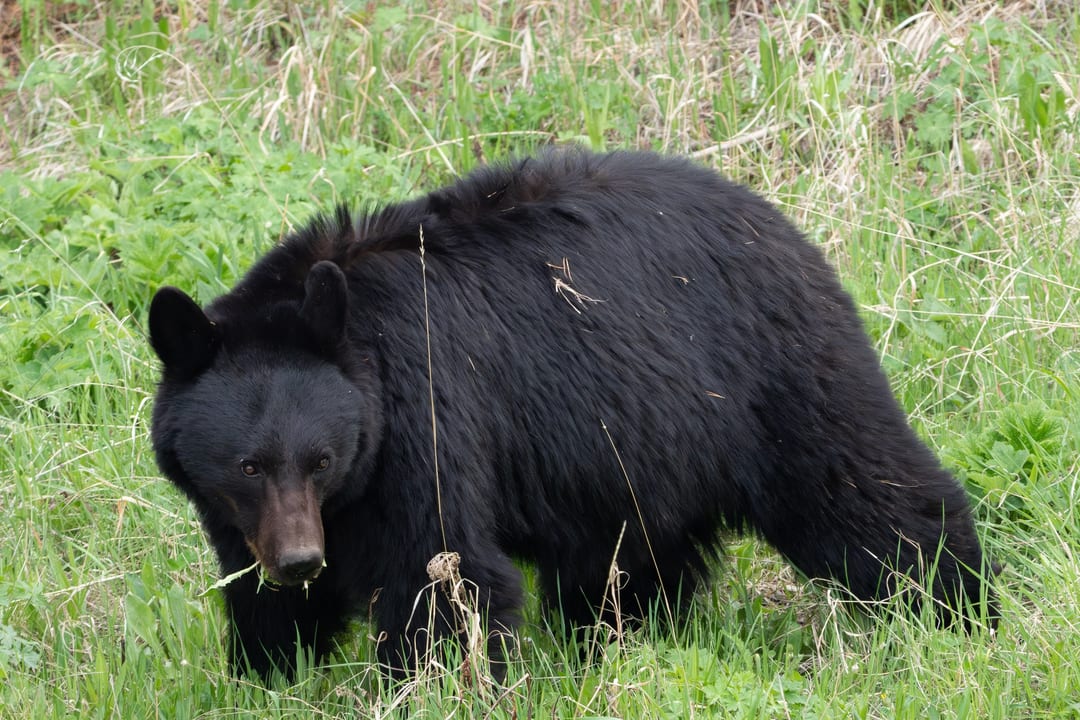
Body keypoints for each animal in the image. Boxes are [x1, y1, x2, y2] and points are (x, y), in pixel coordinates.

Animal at [148, 148, 997, 680]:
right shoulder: (247, 516)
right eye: (247, 465)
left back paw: (959, 610)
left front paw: (437, 684)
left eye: (320, 459)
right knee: (630, 567)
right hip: (637, 451)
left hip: (775, 378)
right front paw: (264, 673)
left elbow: (443, 573)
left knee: (867, 496)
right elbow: (257, 597)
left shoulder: (426, 416)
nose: (301, 560)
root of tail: (781, 220)